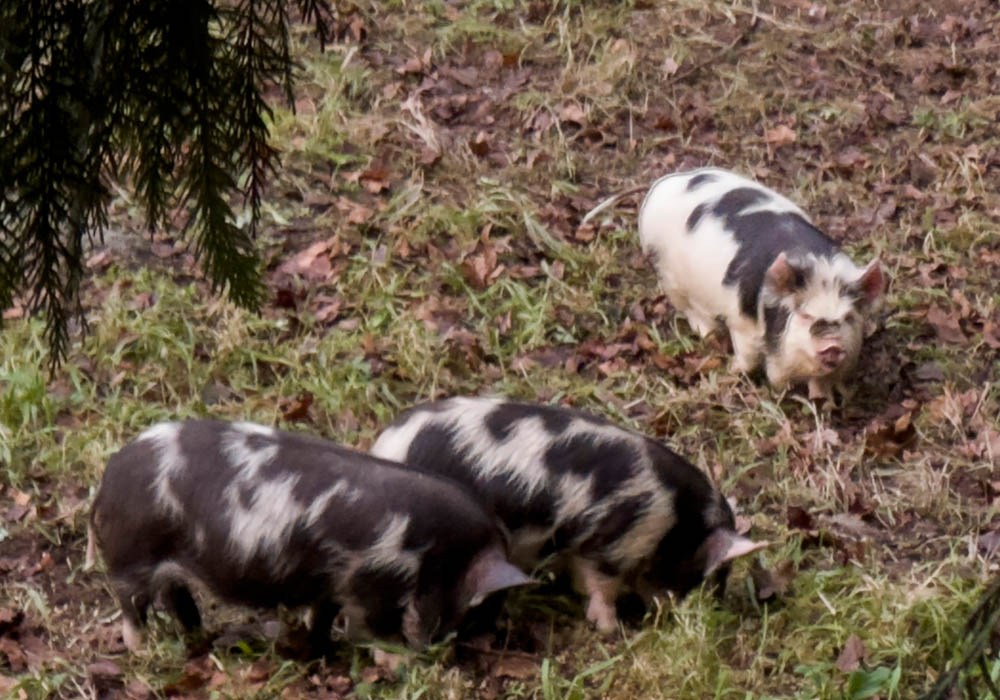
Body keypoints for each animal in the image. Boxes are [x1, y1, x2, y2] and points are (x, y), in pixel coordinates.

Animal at [86, 419, 531, 653]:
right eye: (474, 609)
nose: (445, 650)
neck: (434, 548)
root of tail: (107, 481)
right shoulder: (370, 578)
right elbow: (372, 626)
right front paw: (399, 659)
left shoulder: (331, 585)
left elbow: (322, 616)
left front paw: (319, 650)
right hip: (133, 556)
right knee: (129, 603)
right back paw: (144, 647)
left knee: (174, 595)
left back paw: (198, 636)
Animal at [370, 397, 765, 633]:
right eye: (710, 576)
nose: (708, 615)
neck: (679, 519)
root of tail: (387, 445)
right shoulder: (618, 539)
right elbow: (600, 585)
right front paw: (610, 630)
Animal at [637, 167, 884, 400]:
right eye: (805, 315)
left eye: (848, 317)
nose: (832, 344)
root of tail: (666, 184)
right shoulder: (741, 321)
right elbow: (748, 357)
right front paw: (735, 371)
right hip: (667, 274)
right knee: (689, 309)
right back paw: (710, 335)